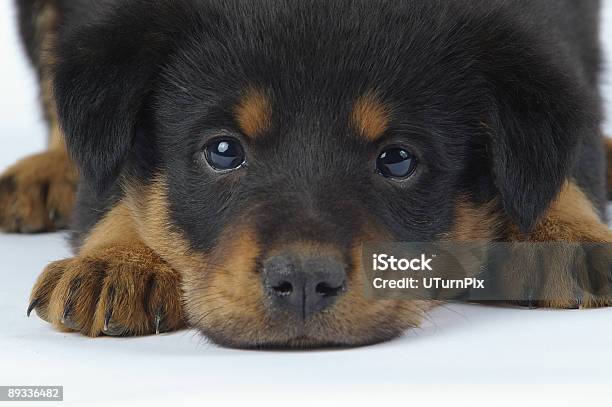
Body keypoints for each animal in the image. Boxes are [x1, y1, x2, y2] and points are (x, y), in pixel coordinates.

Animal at [4, 0, 612, 350]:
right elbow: (111, 179)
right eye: (222, 151)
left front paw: (567, 235)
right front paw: (120, 261)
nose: (302, 283)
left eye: (397, 159)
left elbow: (570, 139)